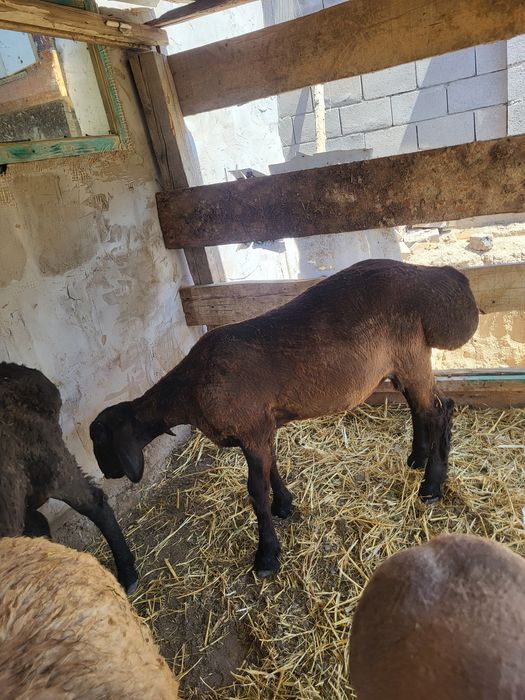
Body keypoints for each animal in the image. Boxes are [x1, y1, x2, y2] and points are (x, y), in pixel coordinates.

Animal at [90, 259, 478, 577]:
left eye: (101, 440)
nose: (108, 474)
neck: (190, 389)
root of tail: (444, 278)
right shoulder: (262, 427)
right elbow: (272, 467)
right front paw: (285, 505)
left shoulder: (251, 428)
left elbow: (255, 491)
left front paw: (266, 555)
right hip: (403, 361)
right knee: (423, 408)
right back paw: (417, 459)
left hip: (411, 352)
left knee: (440, 411)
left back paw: (431, 485)